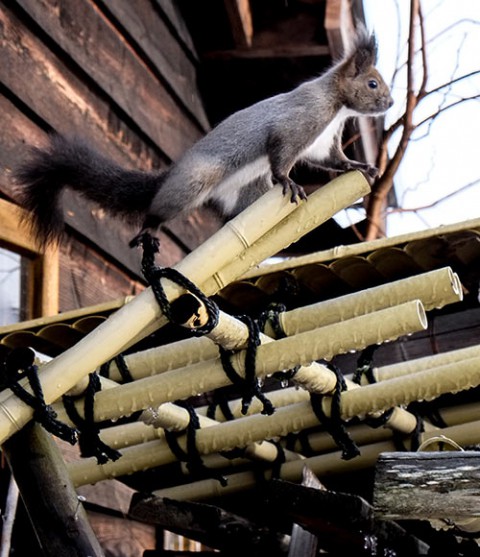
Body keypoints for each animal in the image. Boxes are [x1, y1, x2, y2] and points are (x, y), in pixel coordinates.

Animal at [15, 23, 392, 245]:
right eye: (372, 83)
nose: (389, 102)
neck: (337, 108)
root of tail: (172, 175)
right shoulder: (300, 120)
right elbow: (281, 151)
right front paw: (287, 179)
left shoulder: (324, 142)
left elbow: (332, 160)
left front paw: (360, 167)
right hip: (195, 180)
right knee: (158, 209)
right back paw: (150, 226)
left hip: (245, 196)